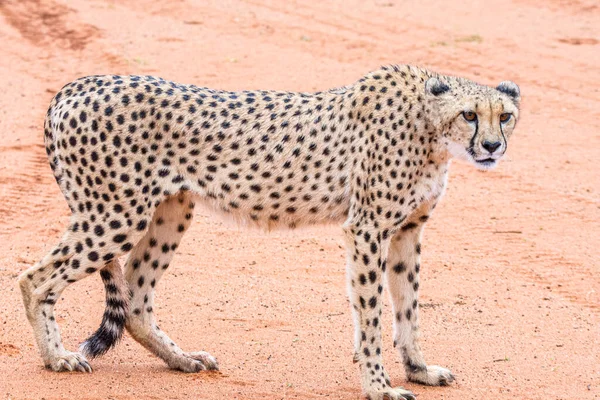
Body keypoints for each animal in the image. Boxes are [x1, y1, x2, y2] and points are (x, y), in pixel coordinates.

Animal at [16, 65, 516, 400]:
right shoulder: (367, 229)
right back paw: (57, 358)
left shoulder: (407, 231)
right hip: (115, 214)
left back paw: (183, 359)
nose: (493, 146)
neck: (430, 127)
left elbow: (408, 309)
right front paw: (378, 386)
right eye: (470, 114)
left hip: (170, 211)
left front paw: (418, 370)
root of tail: (79, 84)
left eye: (505, 115)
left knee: (135, 299)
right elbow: (372, 313)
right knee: (34, 279)